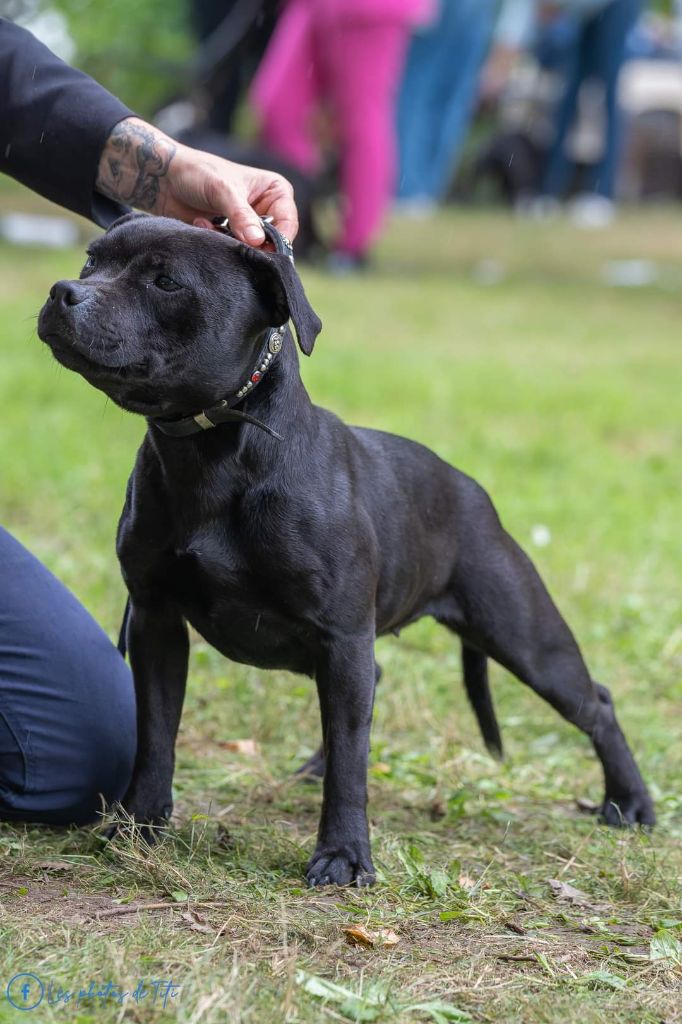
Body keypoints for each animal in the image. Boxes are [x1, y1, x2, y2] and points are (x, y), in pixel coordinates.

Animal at [38, 216, 655, 888]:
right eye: (92, 260)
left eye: (166, 282)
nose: (64, 291)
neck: (214, 452)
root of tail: (469, 487)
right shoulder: (156, 621)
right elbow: (156, 735)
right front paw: (136, 826)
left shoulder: (340, 635)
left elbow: (351, 766)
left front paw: (343, 854)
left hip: (524, 638)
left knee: (596, 702)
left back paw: (630, 803)